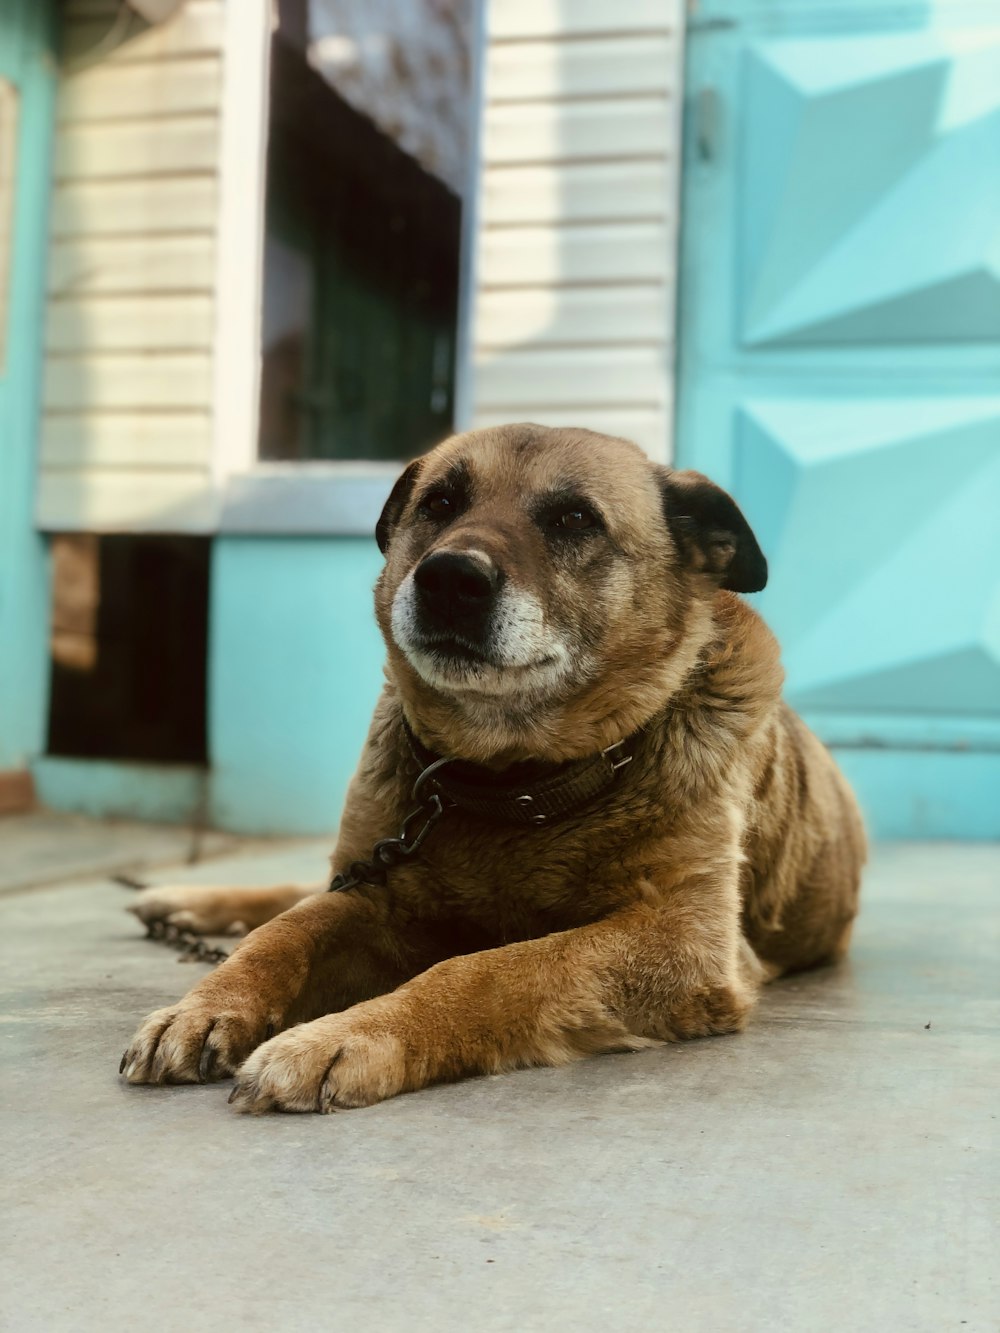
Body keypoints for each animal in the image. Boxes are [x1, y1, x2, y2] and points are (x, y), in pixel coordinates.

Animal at [119, 426, 869, 1114]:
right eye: (440, 502)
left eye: (575, 519)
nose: (450, 578)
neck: (514, 784)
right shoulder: (377, 898)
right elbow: (285, 934)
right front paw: (206, 1004)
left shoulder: (683, 939)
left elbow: (489, 970)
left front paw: (347, 1036)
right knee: (296, 895)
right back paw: (183, 901)